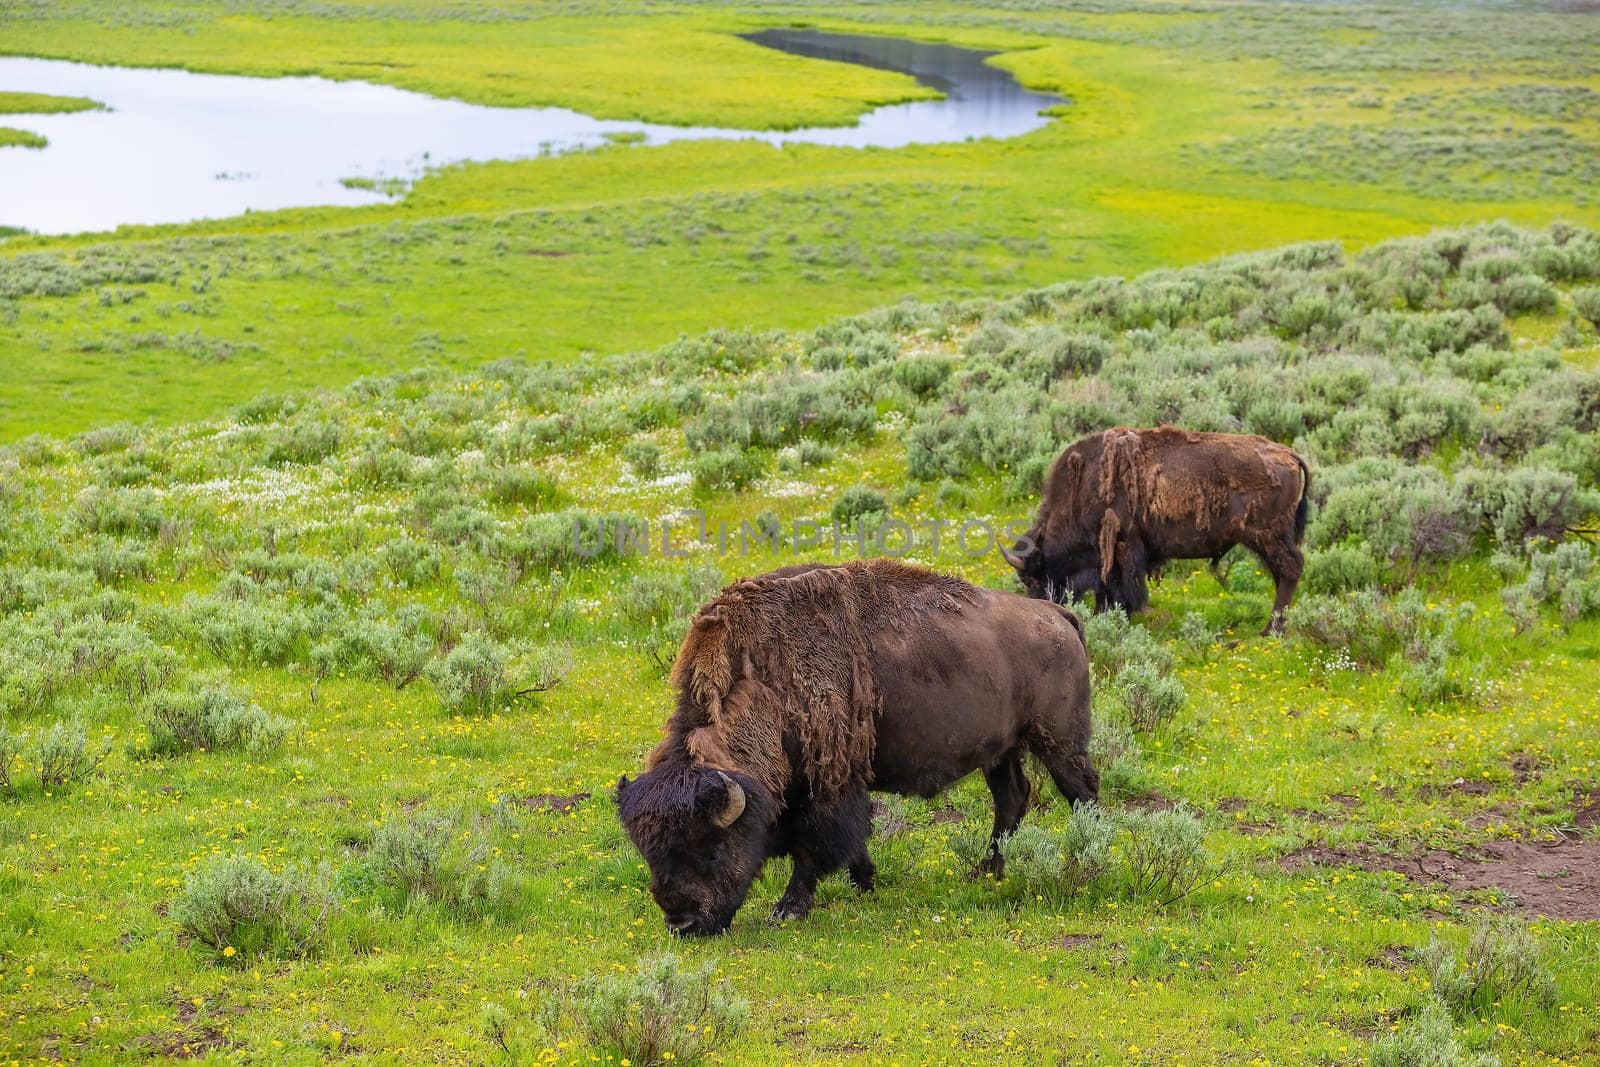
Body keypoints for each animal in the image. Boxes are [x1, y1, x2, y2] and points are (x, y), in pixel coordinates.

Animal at [614, 559, 1100, 934]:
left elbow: (813, 846)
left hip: (1058, 742)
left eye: (713, 848)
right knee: (1012, 799)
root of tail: (1056, 613)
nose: (683, 925)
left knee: (1082, 792)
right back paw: (985, 870)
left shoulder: (826, 786)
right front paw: (864, 880)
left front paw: (788, 910)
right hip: (1001, 751)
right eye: (650, 853)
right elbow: (852, 839)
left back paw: (1087, 857)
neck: (762, 681)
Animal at [998, 428, 1312, 633]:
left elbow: (1118, 587)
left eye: (1035, 578)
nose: (1040, 610)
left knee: (1290, 569)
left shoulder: (1121, 547)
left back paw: (1271, 630)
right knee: (1283, 573)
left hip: (1267, 536)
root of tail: (1289, 454)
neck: (1079, 491)